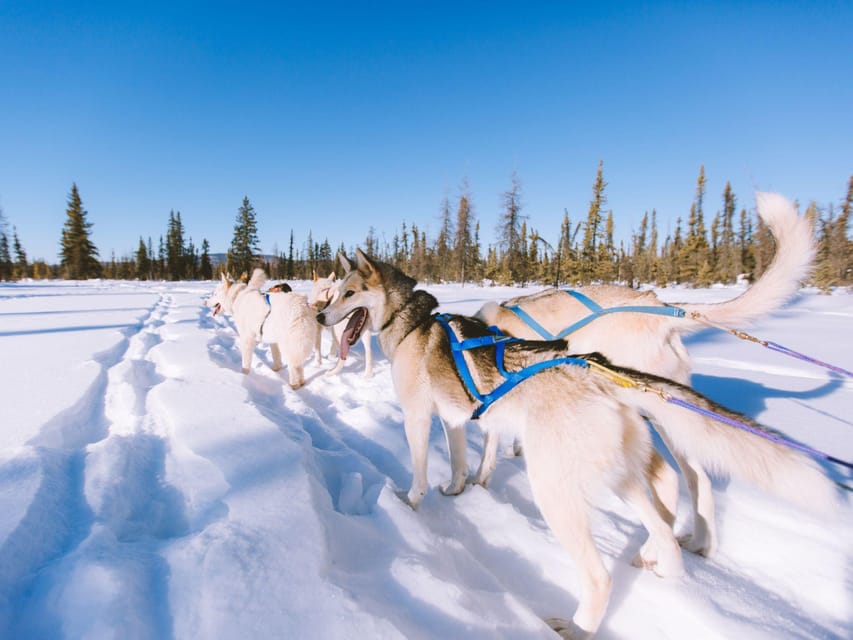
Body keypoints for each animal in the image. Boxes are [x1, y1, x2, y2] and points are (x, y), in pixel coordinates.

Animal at [312, 248, 832, 636]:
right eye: (335, 292)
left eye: (349, 293)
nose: (319, 315)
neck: (411, 323)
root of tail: (602, 375)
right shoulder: (456, 421)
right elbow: (459, 462)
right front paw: (458, 489)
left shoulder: (419, 418)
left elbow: (420, 471)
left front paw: (410, 503)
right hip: (622, 472)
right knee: (664, 507)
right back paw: (661, 556)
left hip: (555, 489)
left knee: (602, 572)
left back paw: (580, 624)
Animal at [472, 190, 812, 556]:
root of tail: (660, 310)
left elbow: (488, 448)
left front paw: (478, 482)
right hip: (670, 417)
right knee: (698, 479)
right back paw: (699, 544)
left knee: (674, 481)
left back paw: (656, 549)